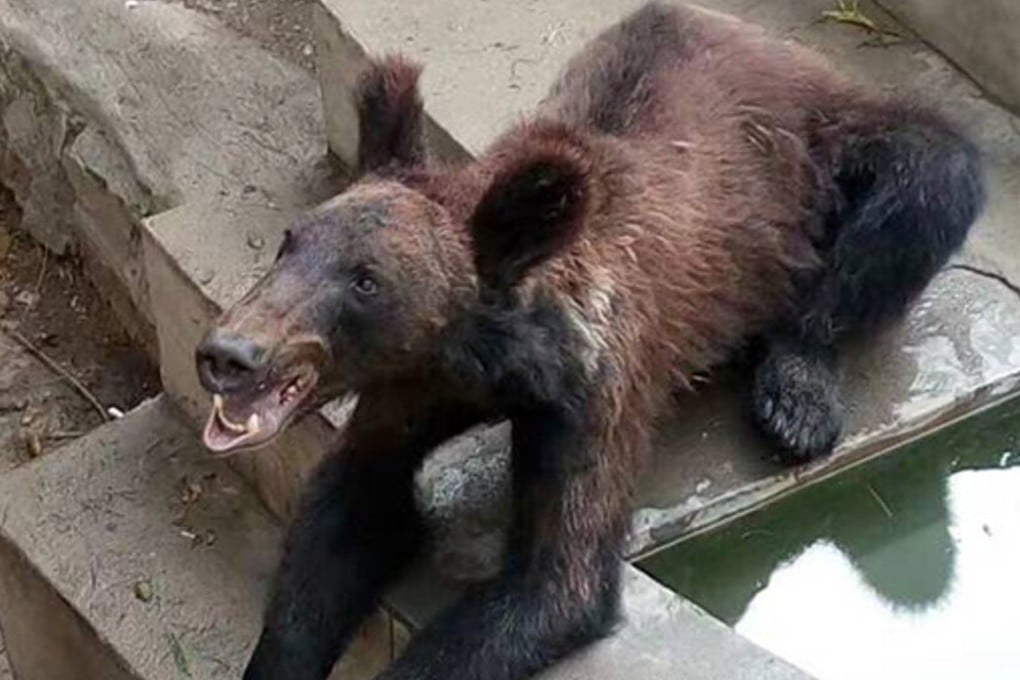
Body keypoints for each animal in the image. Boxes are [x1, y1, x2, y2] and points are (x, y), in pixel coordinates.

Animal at [194, 3, 984, 679]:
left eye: (364, 281)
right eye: (290, 243)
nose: (229, 354)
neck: (492, 358)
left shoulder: (596, 389)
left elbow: (557, 582)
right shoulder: (414, 388)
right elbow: (351, 504)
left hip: (831, 140)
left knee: (930, 175)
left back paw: (795, 397)